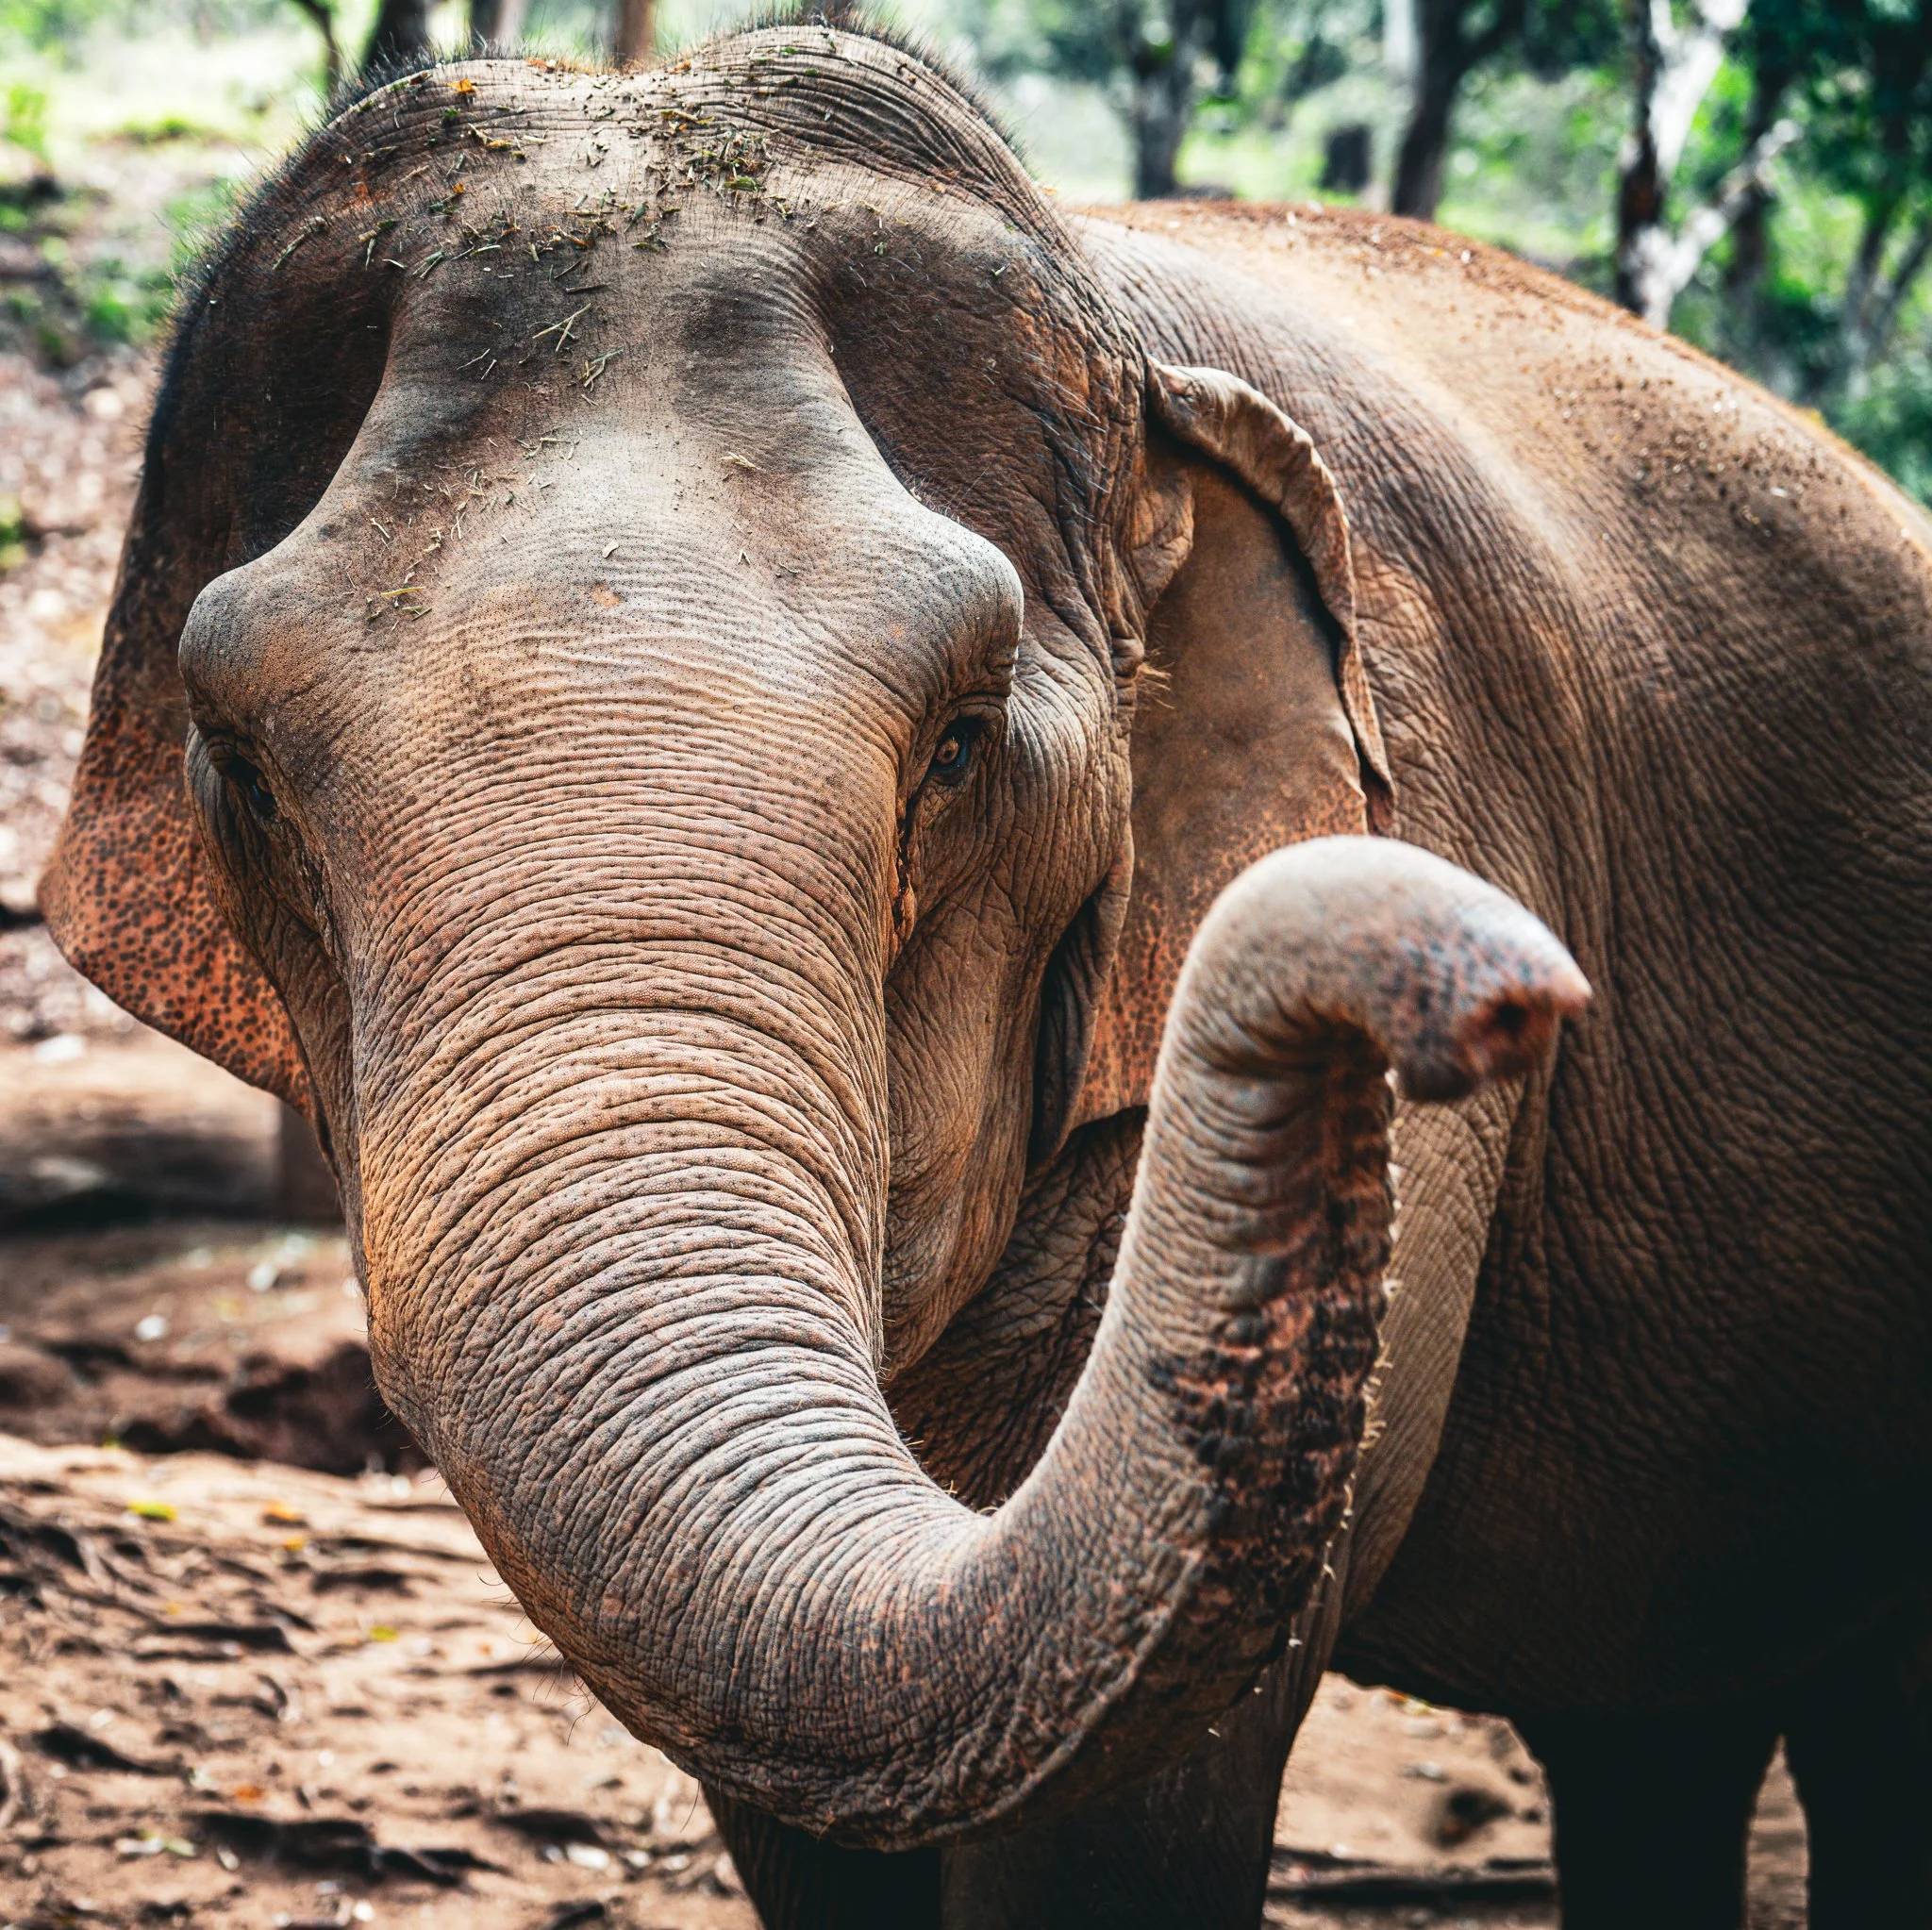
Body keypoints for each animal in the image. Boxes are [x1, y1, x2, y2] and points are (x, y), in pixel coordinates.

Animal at [42, 26, 1932, 1930]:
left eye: (957, 745)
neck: (1124, 339)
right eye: (245, 770)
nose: (1509, 993)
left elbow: (1120, 1816)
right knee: (1658, 1733)